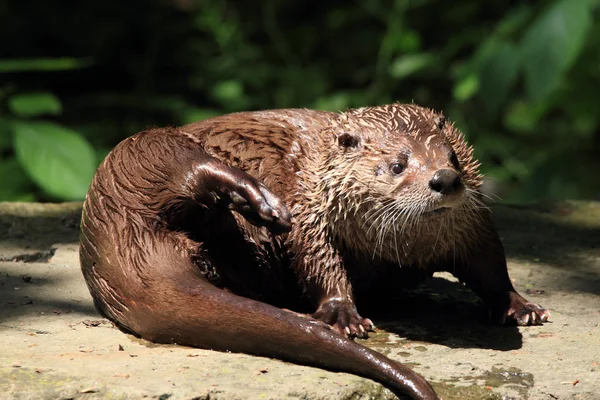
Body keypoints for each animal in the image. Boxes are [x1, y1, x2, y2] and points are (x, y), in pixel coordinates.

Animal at [78, 104, 548, 400]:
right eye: (397, 164)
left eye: (452, 156)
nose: (445, 179)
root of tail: (111, 227)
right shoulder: (311, 216)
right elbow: (318, 261)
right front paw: (343, 315)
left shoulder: (471, 226)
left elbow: (490, 266)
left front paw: (520, 307)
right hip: (141, 155)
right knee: (190, 166)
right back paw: (263, 203)